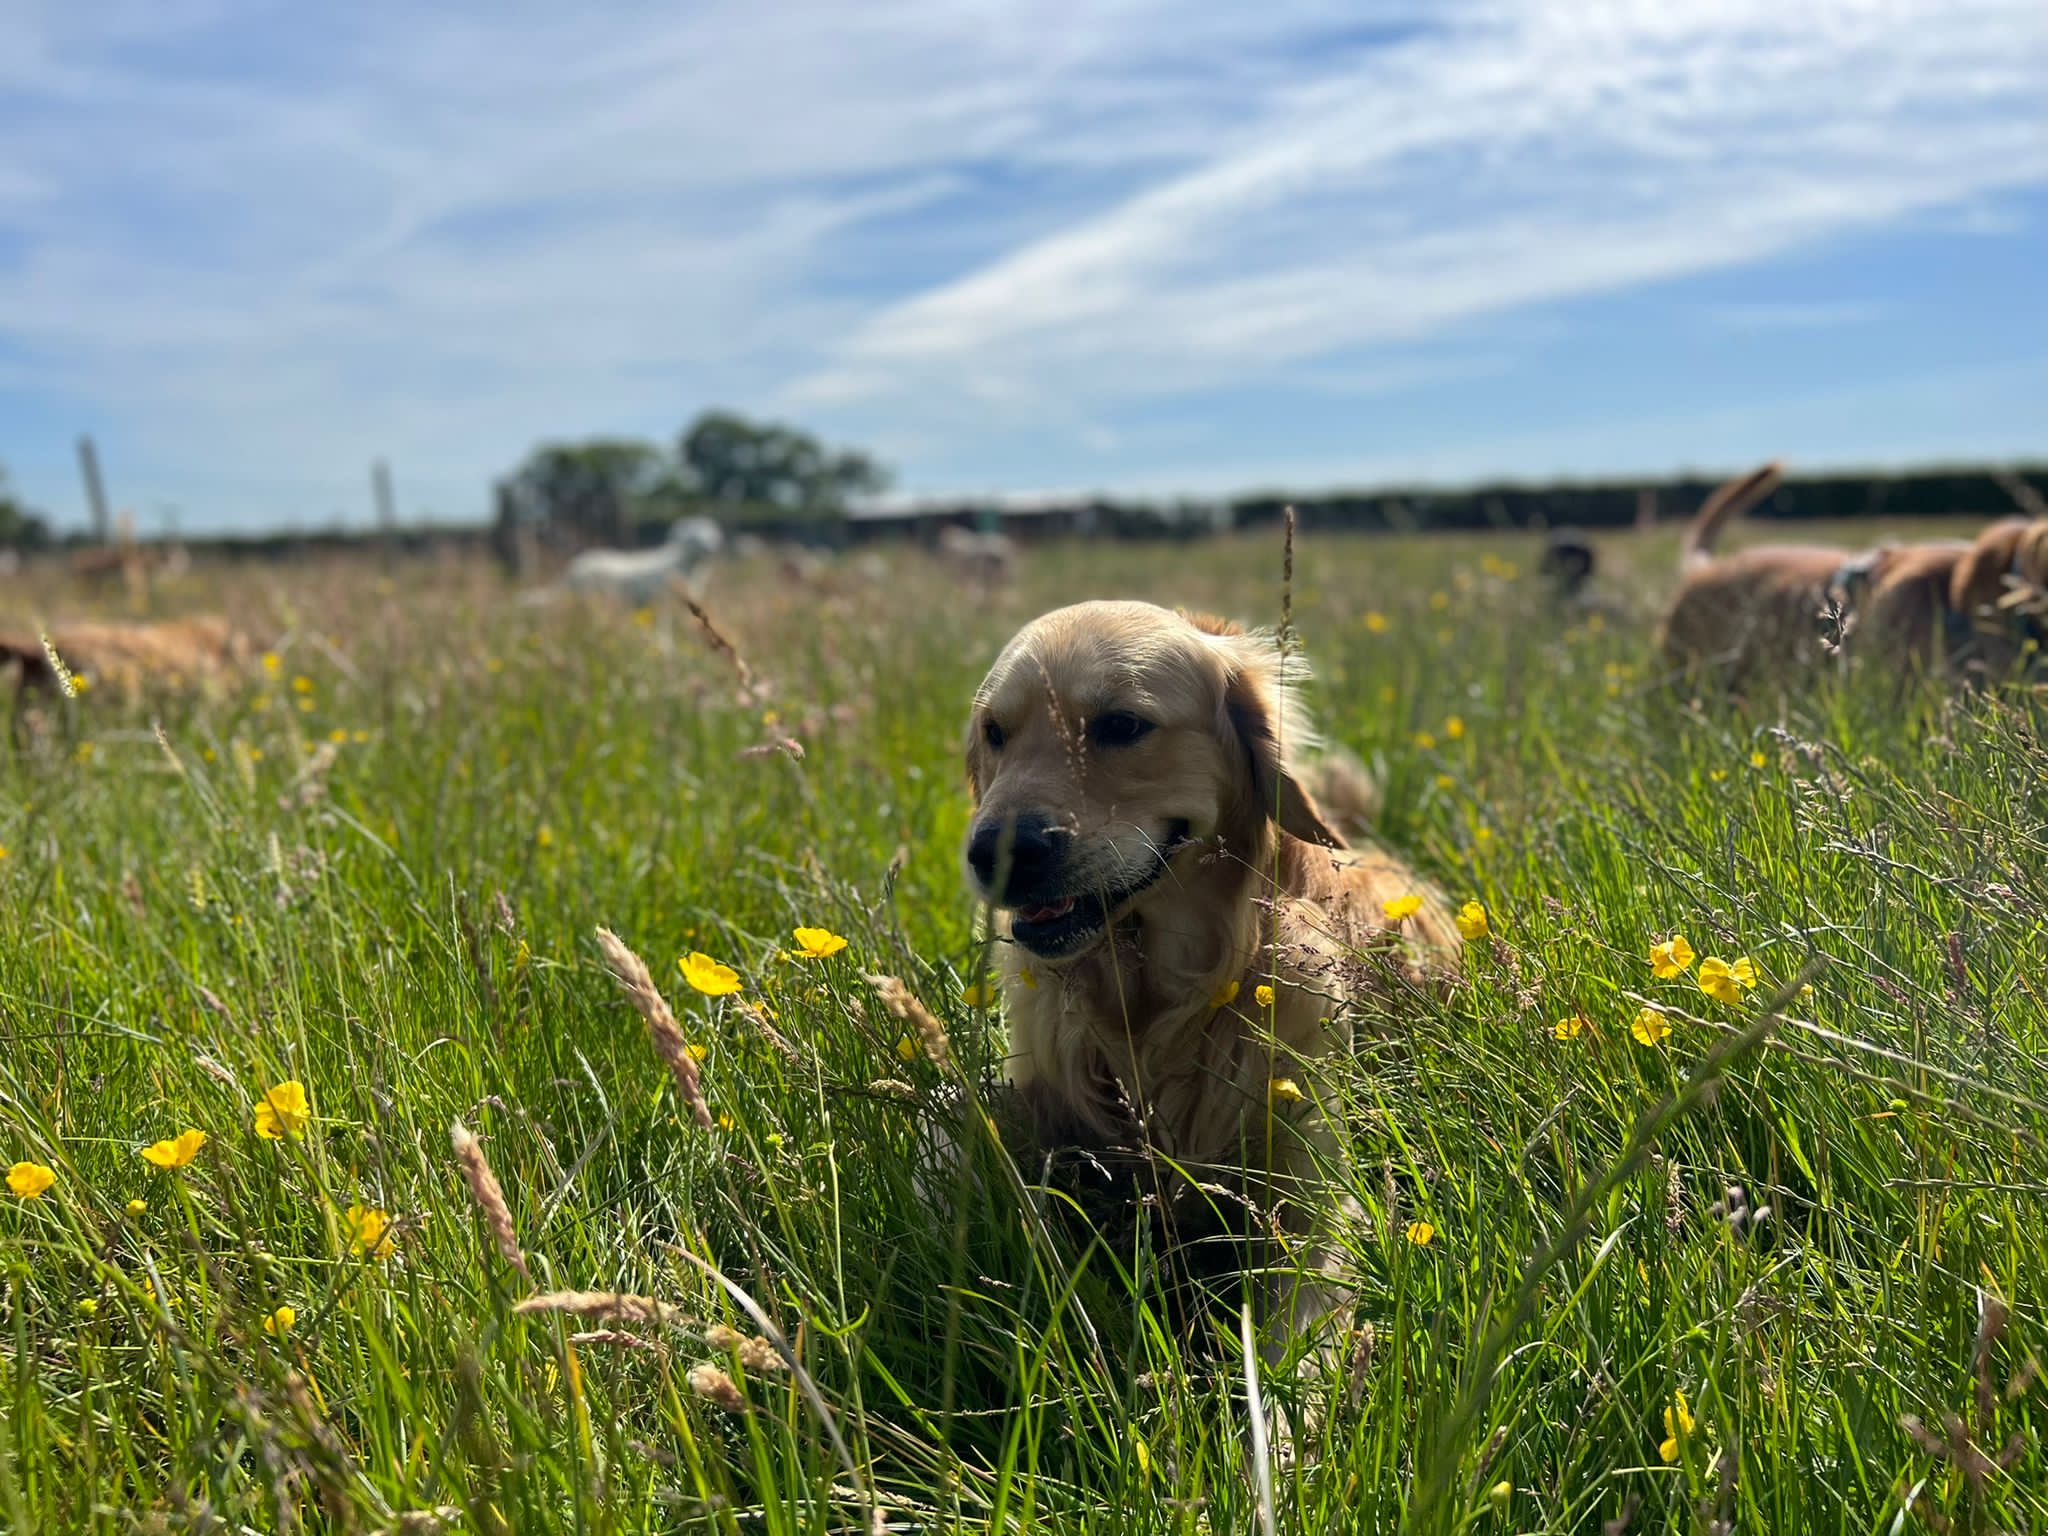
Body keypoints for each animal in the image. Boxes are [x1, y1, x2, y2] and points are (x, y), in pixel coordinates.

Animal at [958, 602, 1458, 1359]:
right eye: (995, 732)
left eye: (1121, 725)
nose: (995, 853)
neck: (1155, 1005)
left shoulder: (1317, 1193)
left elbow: (1299, 1331)